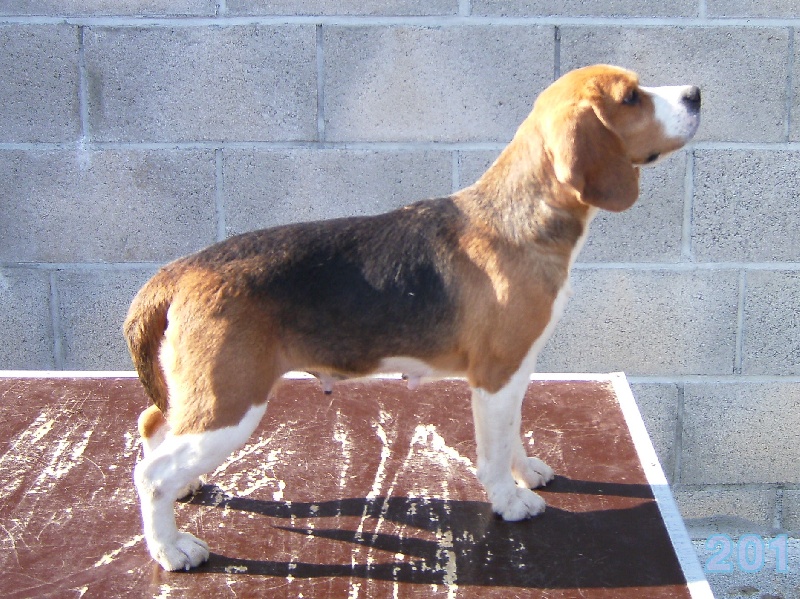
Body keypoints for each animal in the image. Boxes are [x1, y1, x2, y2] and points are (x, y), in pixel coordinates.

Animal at [123, 64, 700, 572]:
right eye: (631, 97)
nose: (696, 93)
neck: (519, 216)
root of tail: (181, 269)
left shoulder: (516, 372)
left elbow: (513, 431)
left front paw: (526, 471)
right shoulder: (495, 376)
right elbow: (493, 451)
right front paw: (509, 501)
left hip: (196, 395)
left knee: (152, 423)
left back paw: (181, 496)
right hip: (231, 405)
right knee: (151, 474)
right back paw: (171, 549)